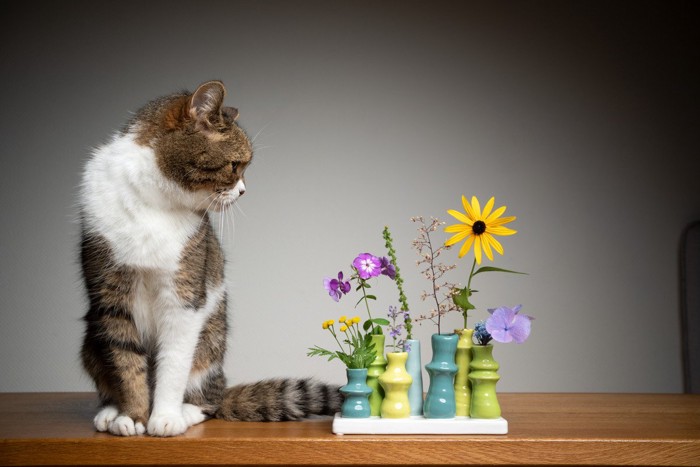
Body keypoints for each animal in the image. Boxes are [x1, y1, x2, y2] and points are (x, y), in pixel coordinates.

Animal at [79, 81, 342, 438]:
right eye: (235, 166)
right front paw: (133, 416)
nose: (243, 191)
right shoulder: (110, 297)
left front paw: (164, 416)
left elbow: (173, 365)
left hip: (209, 346)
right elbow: (126, 363)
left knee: (210, 400)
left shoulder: (184, 295)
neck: (153, 202)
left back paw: (187, 410)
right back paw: (109, 412)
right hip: (90, 341)